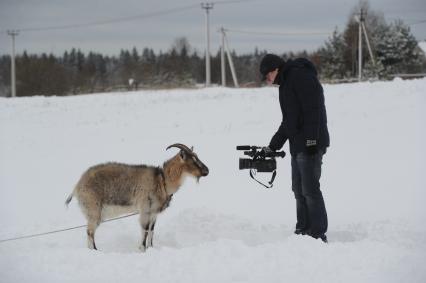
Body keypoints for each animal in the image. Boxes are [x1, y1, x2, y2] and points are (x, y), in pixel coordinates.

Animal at [64, 144, 208, 253]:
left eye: (197, 157)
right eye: (193, 160)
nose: (207, 171)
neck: (162, 180)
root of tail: (77, 187)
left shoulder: (153, 213)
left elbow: (151, 231)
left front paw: (151, 248)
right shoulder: (145, 210)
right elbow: (145, 231)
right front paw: (142, 250)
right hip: (93, 210)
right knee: (90, 232)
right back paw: (95, 251)